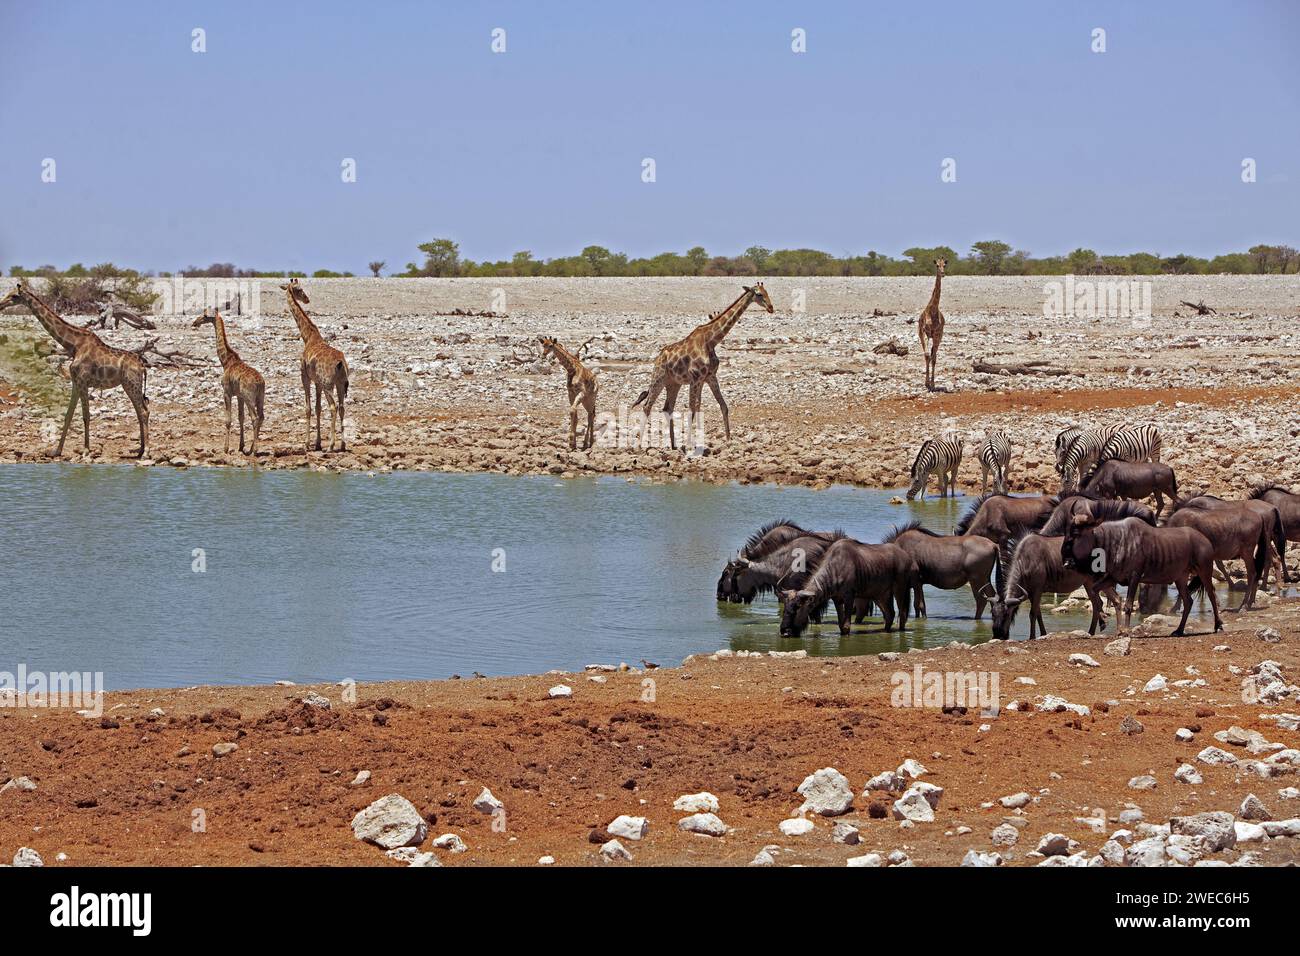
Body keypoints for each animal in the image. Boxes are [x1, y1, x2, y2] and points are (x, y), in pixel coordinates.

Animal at [0, 278, 149, 457]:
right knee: (141, 411)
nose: (1, 304)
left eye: (14, 296)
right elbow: (69, 415)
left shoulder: (83, 381)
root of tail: (142, 366)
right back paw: (139, 450)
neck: (73, 345)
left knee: (143, 412)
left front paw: (85, 450)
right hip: (131, 385)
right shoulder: (75, 382)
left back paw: (146, 452)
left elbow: (86, 415)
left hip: (131, 383)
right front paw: (56, 451)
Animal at [191, 306, 265, 455]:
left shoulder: (227, 392)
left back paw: (254, 450)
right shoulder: (239, 396)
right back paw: (252, 448)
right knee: (261, 417)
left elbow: (228, 420)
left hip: (250, 398)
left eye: (205, 315)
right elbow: (240, 417)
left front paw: (225, 448)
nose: (195, 322)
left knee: (255, 418)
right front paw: (241, 446)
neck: (226, 361)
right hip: (260, 397)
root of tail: (260, 383)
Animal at [280, 278, 351, 455]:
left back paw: (331, 446)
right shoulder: (317, 382)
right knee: (342, 407)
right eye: (299, 289)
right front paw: (317, 443)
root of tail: (341, 363)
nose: (306, 299)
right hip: (340, 384)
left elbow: (308, 408)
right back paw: (342, 444)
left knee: (333, 407)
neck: (308, 337)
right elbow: (318, 408)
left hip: (328, 385)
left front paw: (306, 444)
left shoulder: (305, 377)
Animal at [629, 282, 769, 450]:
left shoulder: (709, 377)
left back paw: (674, 445)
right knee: (647, 406)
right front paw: (690, 443)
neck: (710, 341)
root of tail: (658, 359)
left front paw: (728, 439)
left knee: (667, 409)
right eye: (759, 294)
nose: (771, 307)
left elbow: (721, 405)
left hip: (673, 384)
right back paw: (639, 445)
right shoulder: (695, 378)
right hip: (658, 380)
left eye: (767, 292)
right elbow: (692, 409)